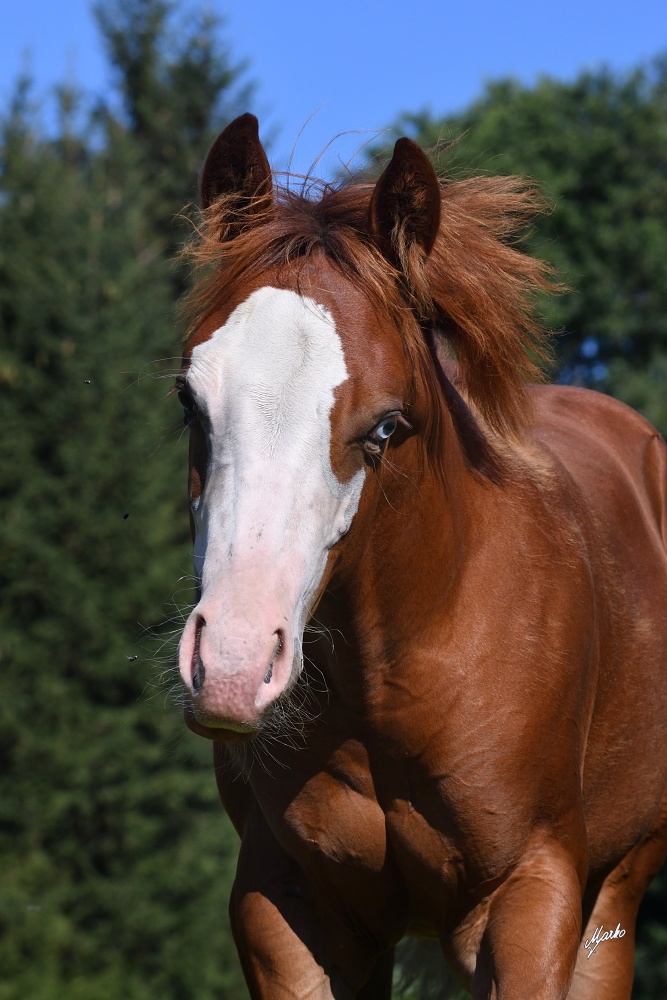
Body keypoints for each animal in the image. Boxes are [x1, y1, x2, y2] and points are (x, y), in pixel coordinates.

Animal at [175, 113, 667, 996]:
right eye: (189, 402)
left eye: (385, 426)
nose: (230, 665)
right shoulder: (283, 905)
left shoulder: (530, 895)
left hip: (612, 899)